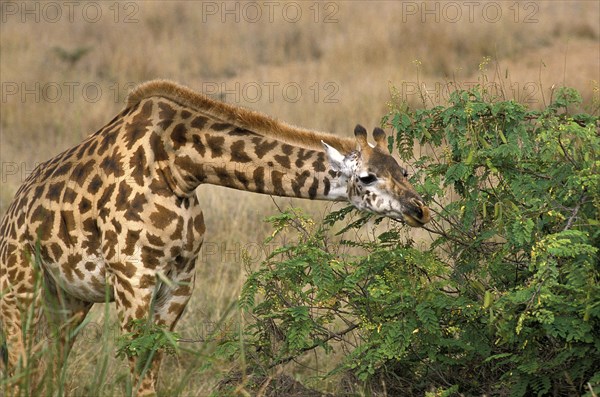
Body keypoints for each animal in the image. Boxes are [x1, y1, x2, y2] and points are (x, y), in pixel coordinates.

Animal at [0, 79, 432, 394]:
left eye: (404, 170)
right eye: (367, 177)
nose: (419, 210)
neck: (179, 167)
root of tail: (13, 213)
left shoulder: (179, 284)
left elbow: (152, 369)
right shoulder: (132, 280)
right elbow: (139, 373)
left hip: (68, 299)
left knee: (45, 369)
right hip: (19, 288)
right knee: (21, 365)